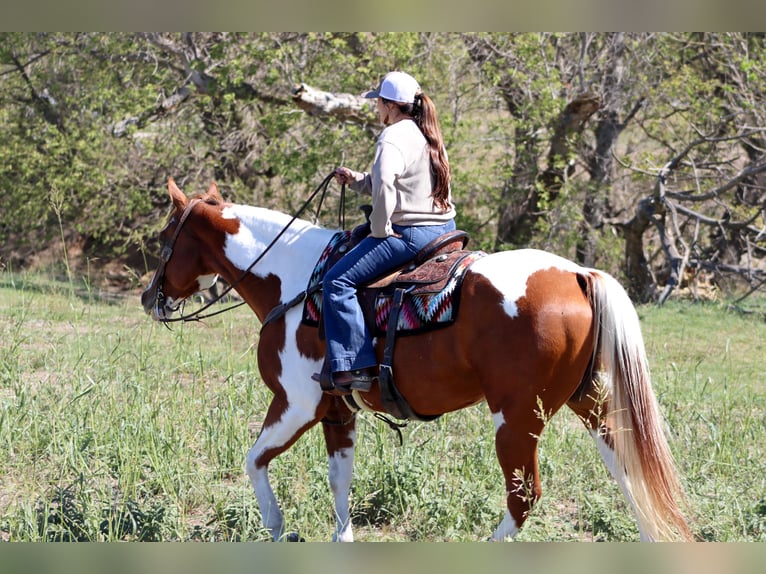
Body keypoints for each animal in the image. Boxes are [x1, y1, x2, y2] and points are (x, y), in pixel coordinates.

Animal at [140, 178, 696, 544]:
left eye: (165, 239)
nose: (150, 298)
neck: (297, 281)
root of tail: (579, 274)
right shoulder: (337, 410)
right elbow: (339, 481)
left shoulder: (296, 404)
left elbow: (253, 461)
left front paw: (277, 529)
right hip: (595, 406)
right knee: (632, 476)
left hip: (517, 418)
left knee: (523, 497)